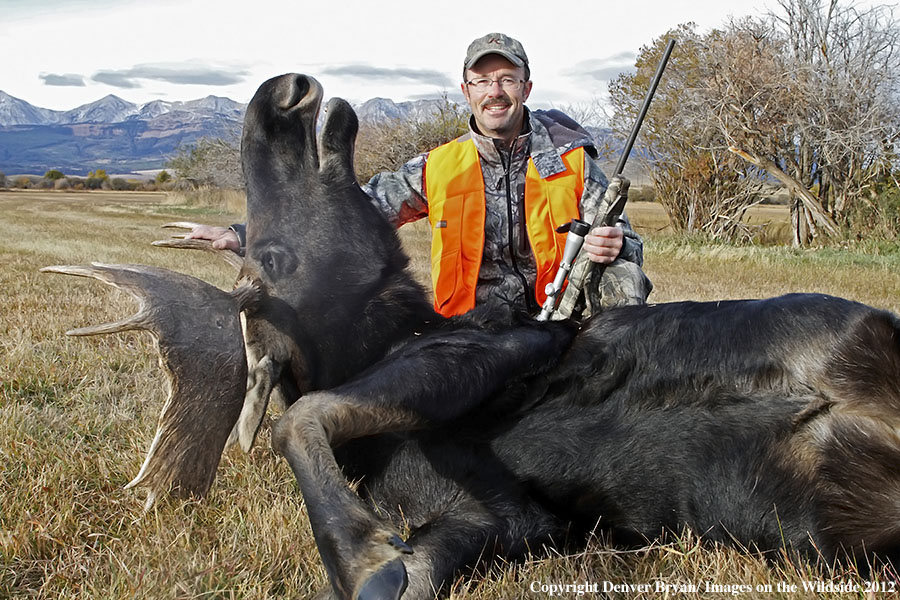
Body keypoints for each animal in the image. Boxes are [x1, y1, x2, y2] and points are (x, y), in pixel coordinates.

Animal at [44, 76, 900, 600]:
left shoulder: (495, 348)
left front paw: (360, 552)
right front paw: (372, 557)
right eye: (269, 256)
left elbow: (302, 414)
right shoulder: (509, 518)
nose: (281, 97)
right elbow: (335, 454)